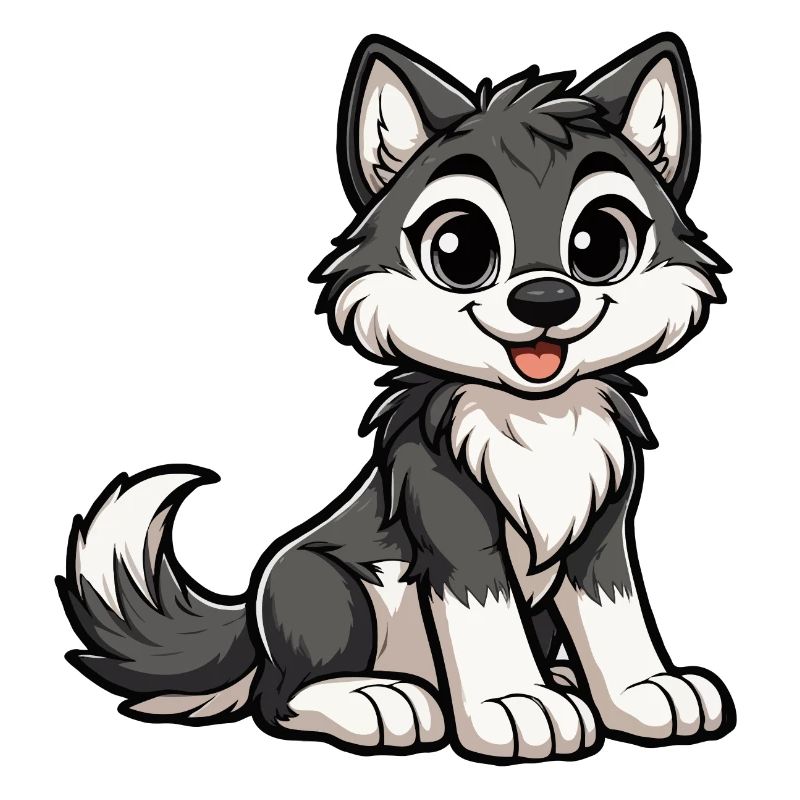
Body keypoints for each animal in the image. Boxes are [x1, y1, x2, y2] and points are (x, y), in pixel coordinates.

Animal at [57, 33, 735, 763]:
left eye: (600, 243)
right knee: (279, 698)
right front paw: (512, 706)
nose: (545, 300)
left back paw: (554, 677)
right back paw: (381, 701)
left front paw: (643, 692)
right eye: (460, 249)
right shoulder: (451, 520)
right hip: (321, 585)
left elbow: (616, 612)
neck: (536, 418)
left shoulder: (601, 527)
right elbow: (483, 612)